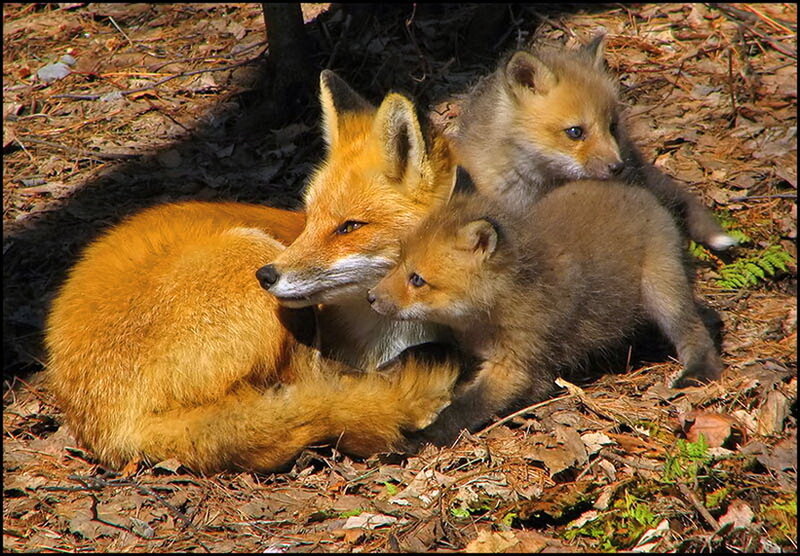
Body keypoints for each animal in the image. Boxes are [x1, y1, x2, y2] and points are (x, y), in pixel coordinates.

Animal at [368, 180, 723, 446]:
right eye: (398, 262)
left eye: (417, 279)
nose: (371, 298)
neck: (485, 321)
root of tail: (632, 187)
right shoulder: (469, 349)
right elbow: (426, 350)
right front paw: (389, 368)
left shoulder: (515, 366)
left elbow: (467, 406)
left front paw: (422, 436)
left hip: (663, 293)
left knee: (695, 332)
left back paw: (697, 371)